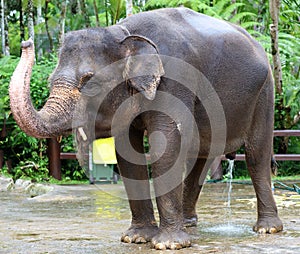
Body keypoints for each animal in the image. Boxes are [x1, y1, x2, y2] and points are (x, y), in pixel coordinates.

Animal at [8, 6, 282, 251]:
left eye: (89, 81)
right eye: (50, 81)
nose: (25, 41)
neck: (122, 34)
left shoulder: (176, 79)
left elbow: (166, 147)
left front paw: (169, 244)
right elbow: (128, 152)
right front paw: (136, 238)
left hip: (265, 92)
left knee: (256, 155)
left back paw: (267, 229)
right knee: (201, 157)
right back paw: (189, 224)